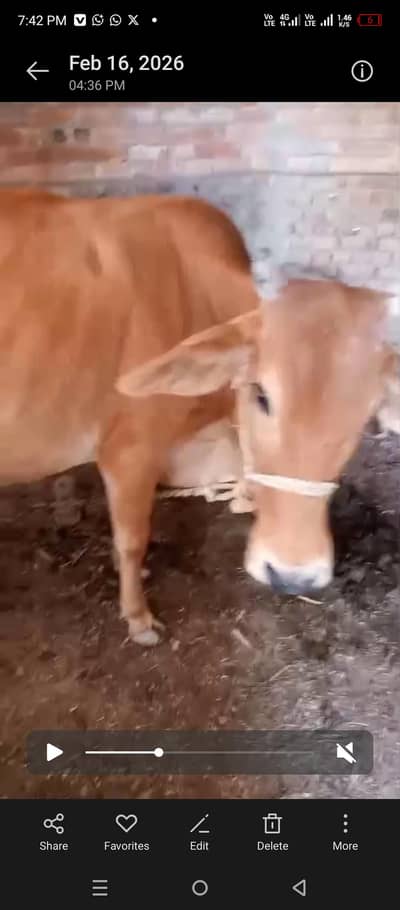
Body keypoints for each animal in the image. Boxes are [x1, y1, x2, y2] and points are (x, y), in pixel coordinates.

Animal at [0, 188, 398, 646]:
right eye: (261, 394)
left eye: (367, 414)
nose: (292, 575)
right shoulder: (130, 450)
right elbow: (132, 537)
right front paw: (138, 617)